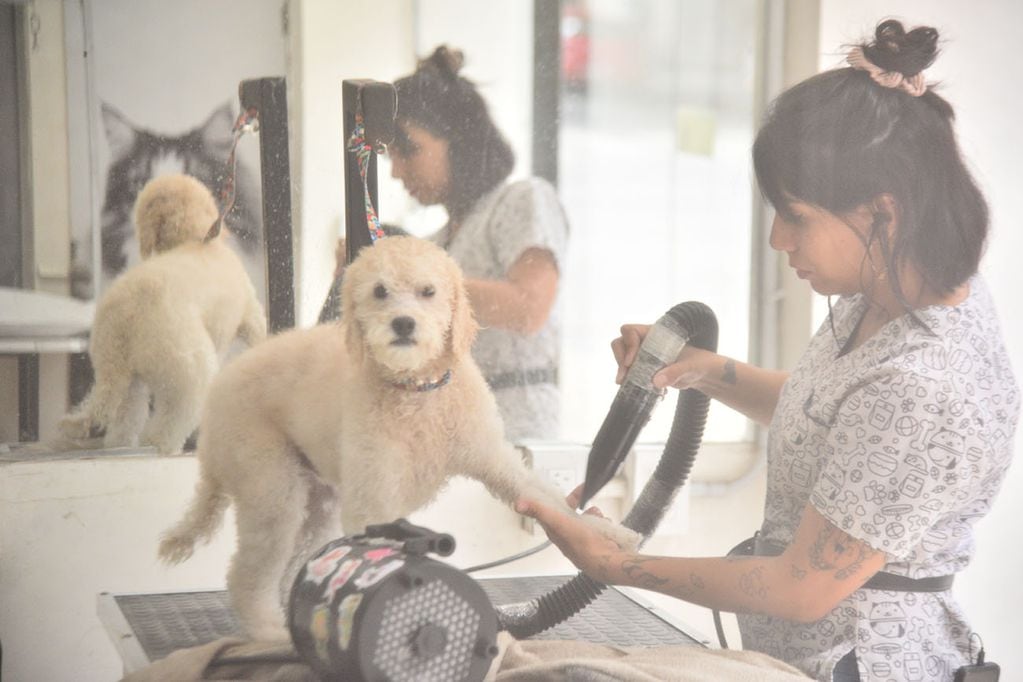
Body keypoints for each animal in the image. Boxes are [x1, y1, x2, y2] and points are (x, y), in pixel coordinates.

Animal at [58, 174, 268, 453]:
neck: (195, 242)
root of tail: (126, 317)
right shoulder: (250, 309)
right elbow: (257, 331)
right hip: (189, 367)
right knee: (170, 421)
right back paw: (166, 447)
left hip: (124, 375)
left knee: (126, 416)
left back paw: (120, 443)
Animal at [157, 236, 638, 642]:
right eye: (379, 292)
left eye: (428, 291)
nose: (403, 324)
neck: (419, 391)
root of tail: (216, 395)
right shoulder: (375, 494)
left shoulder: (493, 458)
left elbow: (550, 500)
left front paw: (606, 534)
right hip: (271, 486)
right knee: (248, 574)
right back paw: (268, 630)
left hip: (319, 504)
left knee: (296, 563)